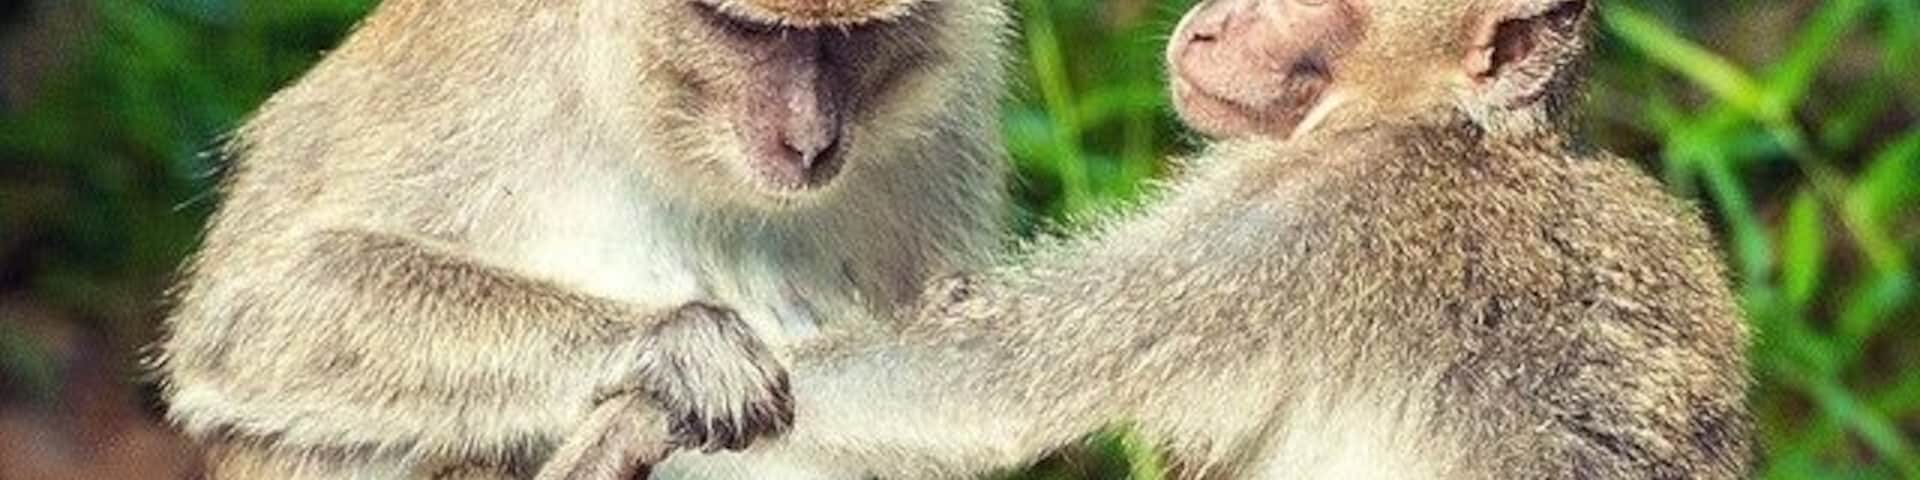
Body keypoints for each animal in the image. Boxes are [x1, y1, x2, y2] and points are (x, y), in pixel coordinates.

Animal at [150, 0, 1014, 477]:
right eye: (742, 29)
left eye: (861, 36)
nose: (809, 142)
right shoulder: (490, 62)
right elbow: (259, 301)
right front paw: (680, 345)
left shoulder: (955, 93)